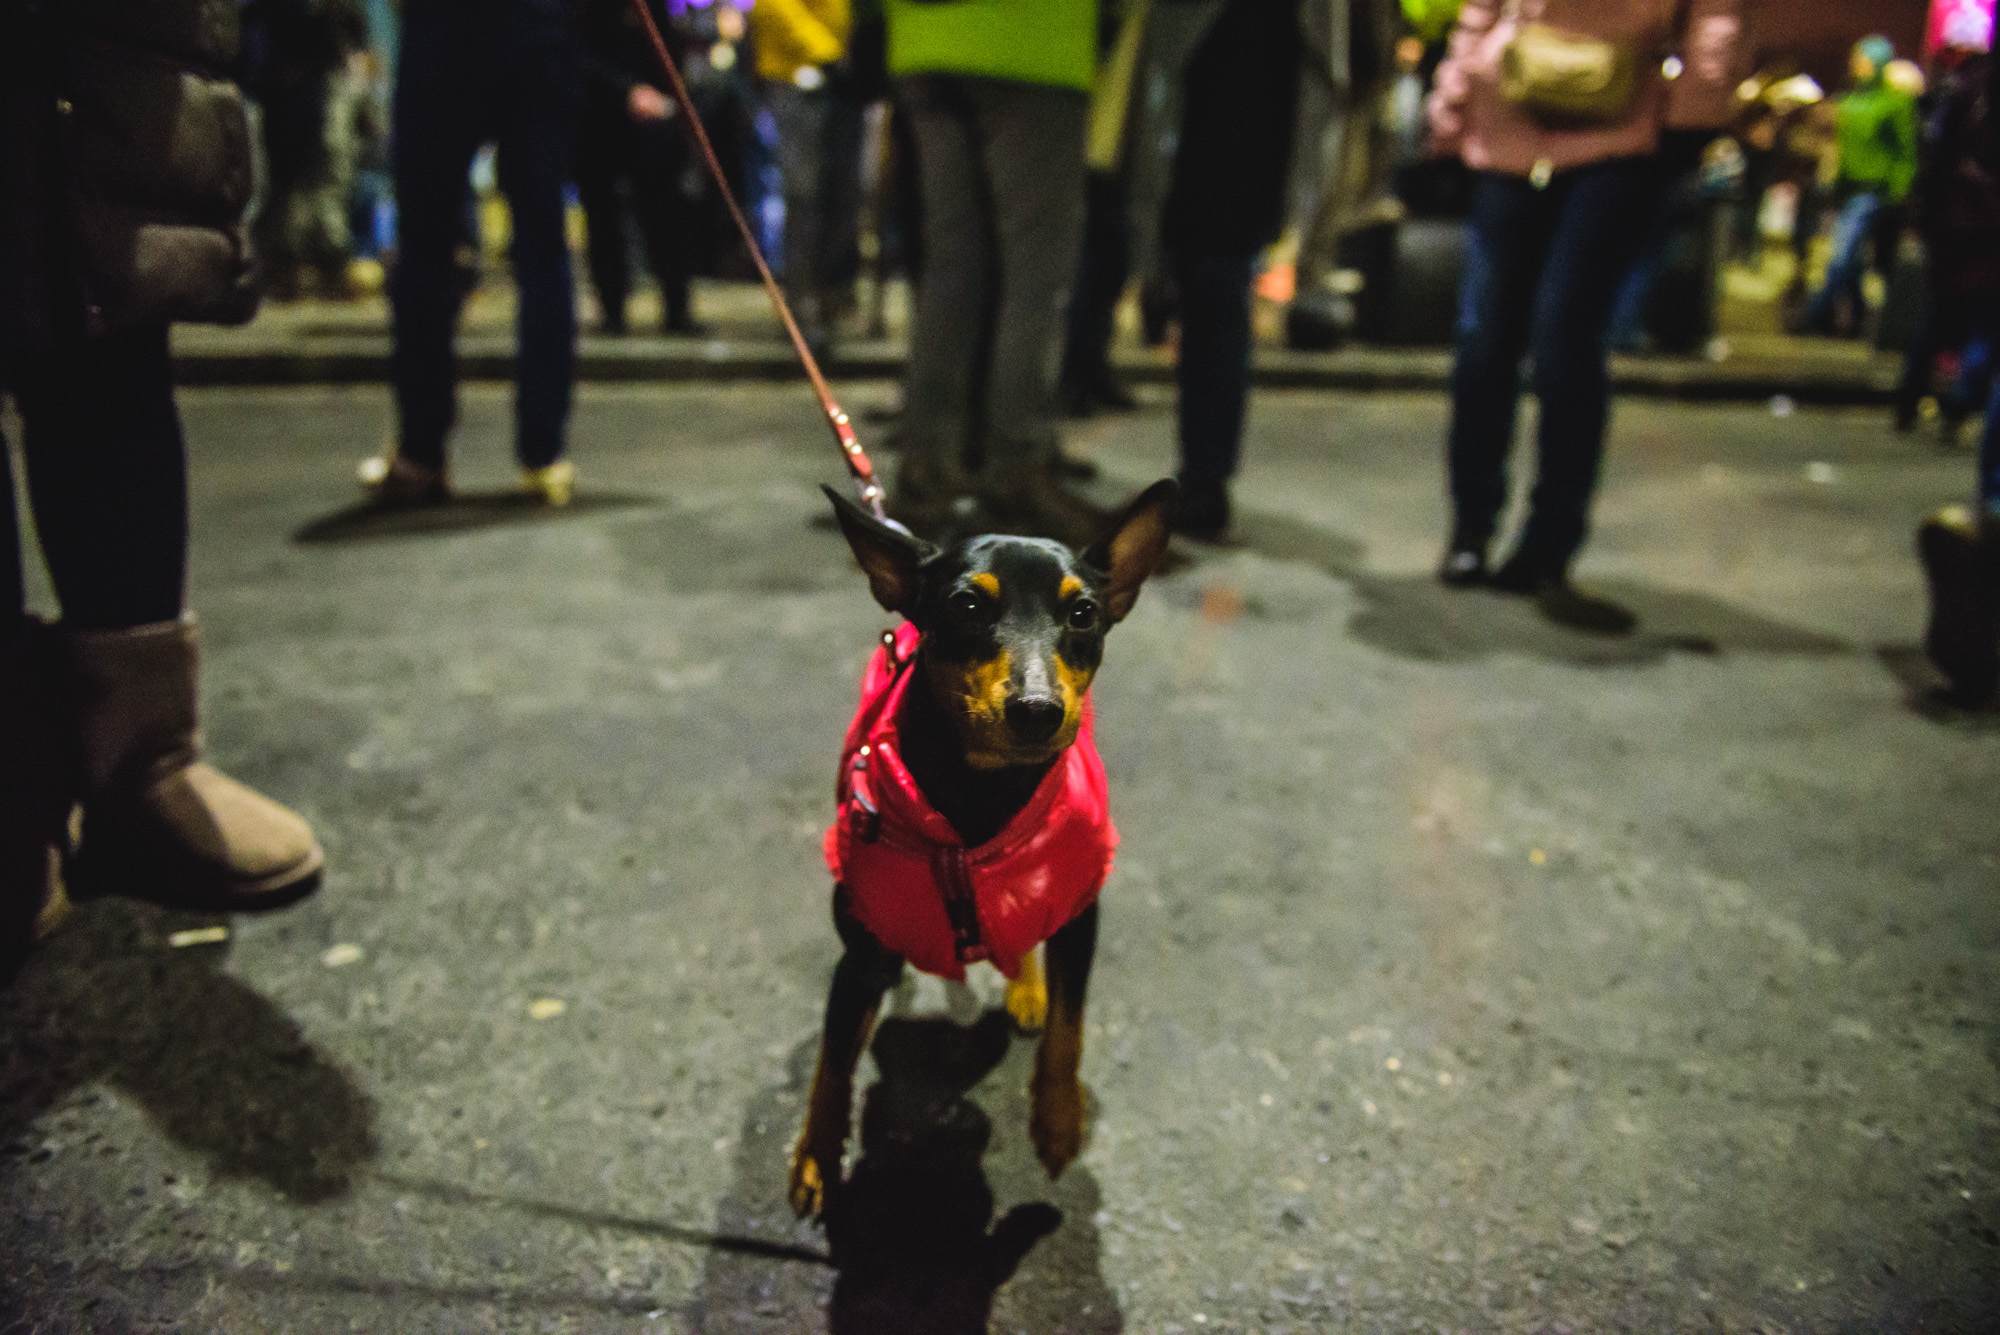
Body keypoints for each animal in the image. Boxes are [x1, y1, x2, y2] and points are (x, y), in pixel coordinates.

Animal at [788, 481, 1176, 1223]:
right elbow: (832, 1062)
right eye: (967, 606)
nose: (1037, 709)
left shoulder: (1080, 911)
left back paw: (1025, 987)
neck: (981, 799)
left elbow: (1069, 1025)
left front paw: (1057, 1117)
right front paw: (816, 1156)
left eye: (1083, 613)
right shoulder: (860, 958)